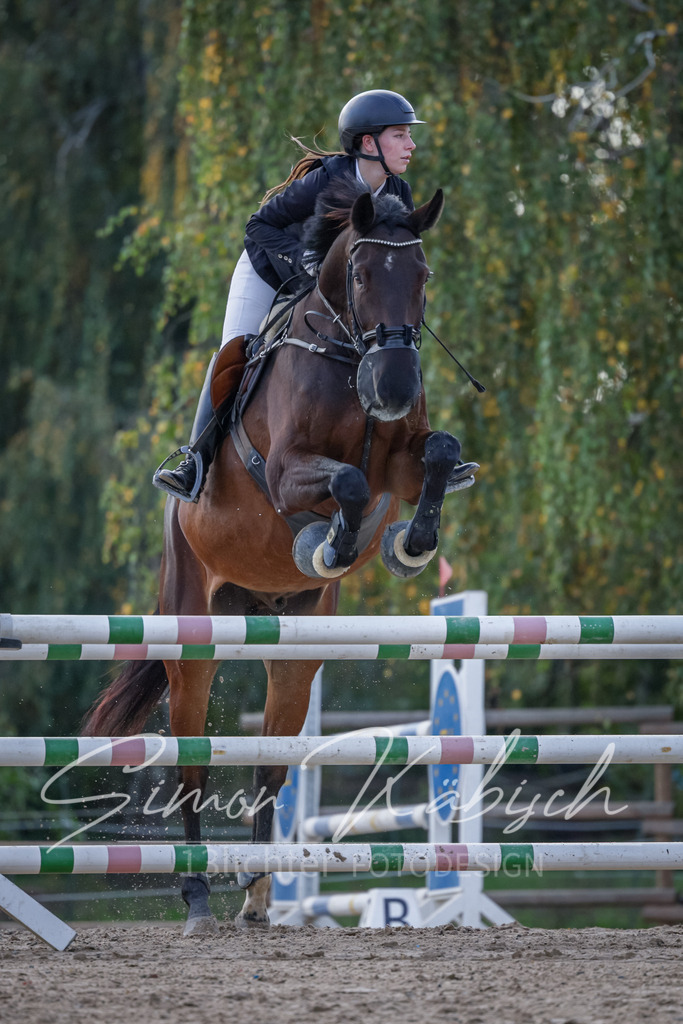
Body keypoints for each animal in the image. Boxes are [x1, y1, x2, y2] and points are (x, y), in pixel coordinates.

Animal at [83, 177, 477, 935]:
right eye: (361, 273)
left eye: (422, 275)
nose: (393, 388)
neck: (350, 357)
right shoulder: (290, 470)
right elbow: (346, 483)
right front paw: (332, 545)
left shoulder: (402, 463)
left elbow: (437, 454)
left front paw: (409, 546)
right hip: (193, 637)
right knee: (193, 768)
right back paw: (199, 898)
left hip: (293, 650)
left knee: (271, 765)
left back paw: (259, 896)